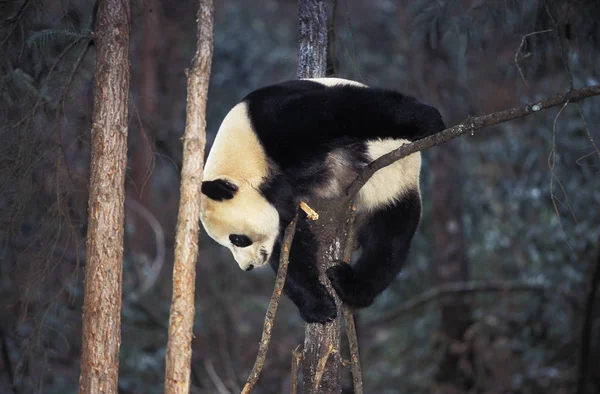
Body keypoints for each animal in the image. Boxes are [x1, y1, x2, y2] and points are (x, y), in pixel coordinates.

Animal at [200, 77, 446, 324]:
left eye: (237, 239)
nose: (248, 266)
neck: (244, 159)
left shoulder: (272, 126)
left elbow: (340, 111)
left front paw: (428, 120)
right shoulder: (285, 203)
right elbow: (290, 249)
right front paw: (319, 307)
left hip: (395, 185)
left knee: (390, 235)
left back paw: (350, 284)